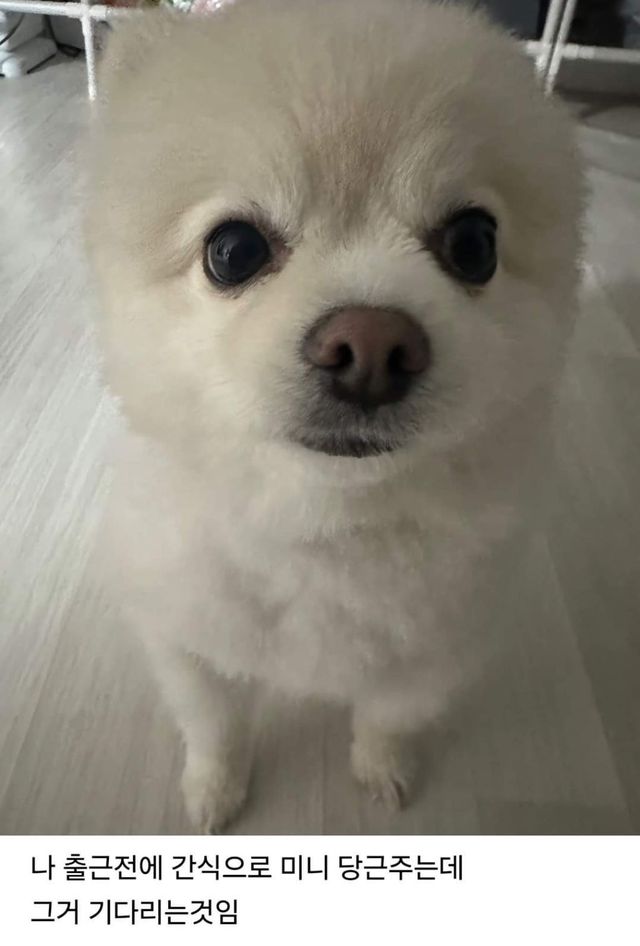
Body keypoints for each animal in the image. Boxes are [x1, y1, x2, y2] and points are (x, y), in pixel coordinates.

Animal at [86, 0, 583, 832]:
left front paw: (383, 770)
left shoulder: (435, 653)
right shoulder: (186, 639)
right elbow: (215, 724)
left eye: (473, 244)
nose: (371, 346)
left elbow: (387, 716)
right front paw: (214, 789)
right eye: (232, 251)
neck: (325, 528)